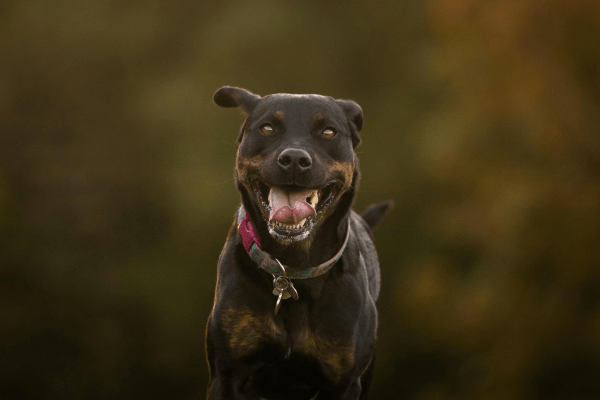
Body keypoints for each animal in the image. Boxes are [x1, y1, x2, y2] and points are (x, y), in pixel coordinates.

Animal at [206, 86, 392, 398]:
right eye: (267, 128)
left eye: (329, 132)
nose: (294, 159)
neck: (292, 268)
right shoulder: (226, 374)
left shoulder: (345, 382)